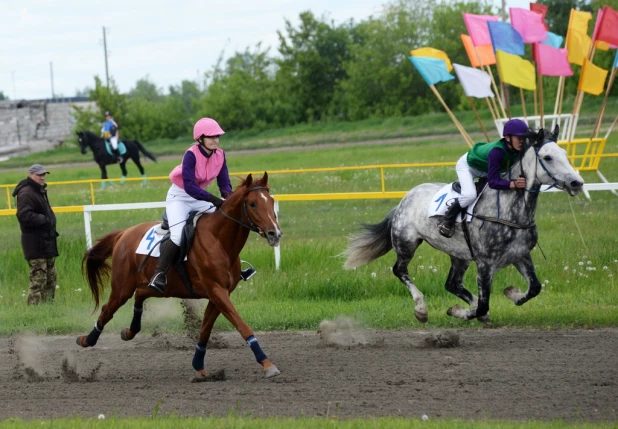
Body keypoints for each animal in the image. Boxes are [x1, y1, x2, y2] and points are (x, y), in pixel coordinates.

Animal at [75, 172, 284, 380]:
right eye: (253, 203)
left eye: (271, 201)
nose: (275, 233)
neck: (218, 240)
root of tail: (124, 233)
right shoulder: (216, 291)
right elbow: (242, 326)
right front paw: (267, 364)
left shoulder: (218, 295)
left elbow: (205, 330)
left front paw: (198, 366)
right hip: (122, 287)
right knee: (107, 309)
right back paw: (87, 339)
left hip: (162, 287)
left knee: (140, 293)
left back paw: (129, 331)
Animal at [344, 126, 580, 320]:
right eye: (548, 157)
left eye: (565, 154)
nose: (577, 182)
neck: (510, 211)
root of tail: (403, 199)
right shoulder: (485, 264)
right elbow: (484, 306)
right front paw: (457, 311)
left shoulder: (521, 255)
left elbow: (535, 288)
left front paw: (511, 294)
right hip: (406, 243)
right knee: (399, 271)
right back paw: (421, 309)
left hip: (460, 254)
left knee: (452, 283)